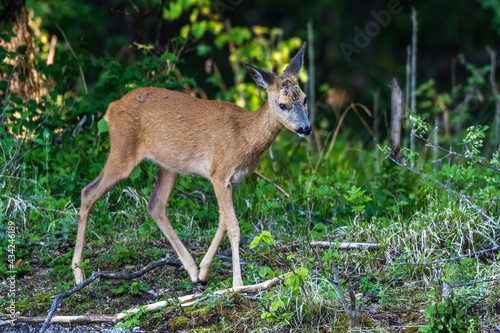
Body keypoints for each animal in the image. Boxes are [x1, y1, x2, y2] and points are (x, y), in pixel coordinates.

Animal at [72, 42, 310, 286]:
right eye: (282, 104)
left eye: (304, 98)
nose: (306, 128)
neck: (244, 134)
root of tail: (110, 109)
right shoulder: (219, 173)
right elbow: (234, 227)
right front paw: (238, 284)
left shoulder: (233, 180)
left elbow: (223, 222)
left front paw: (204, 271)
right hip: (123, 150)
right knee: (88, 191)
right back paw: (79, 273)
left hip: (169, 165)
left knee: (155, 204)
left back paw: (192, 270)